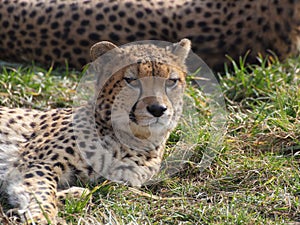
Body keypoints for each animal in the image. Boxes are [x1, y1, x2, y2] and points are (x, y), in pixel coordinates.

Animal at [0, 38, 191, 223]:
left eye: (171, 81)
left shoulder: (117, 179)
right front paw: (42, 216)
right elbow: (42, 192)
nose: (158, 109)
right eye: (132, 80)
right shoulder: (38, 163)